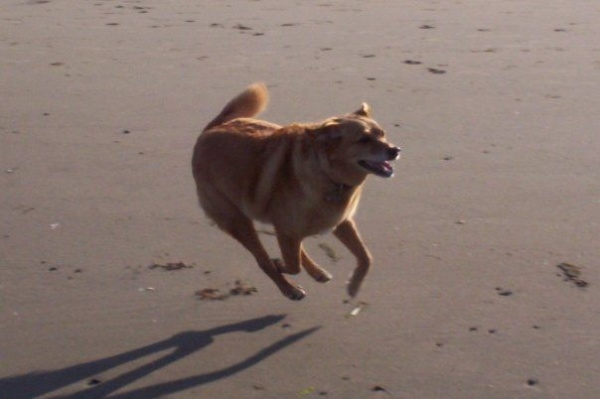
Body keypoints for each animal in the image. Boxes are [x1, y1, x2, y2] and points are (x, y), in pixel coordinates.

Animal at [191, 83, 398, 300]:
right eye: (363, 139)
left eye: (382, 133)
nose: (395, 150)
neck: (329, 175)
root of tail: (212, 128)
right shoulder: (287, 231)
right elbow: (291, 264)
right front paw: (280, 266)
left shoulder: (341, 222)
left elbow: (366, 257)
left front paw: (354, 286)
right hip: (238, 222)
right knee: (263, 260)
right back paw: (289, 288)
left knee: (297, 251)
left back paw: (316, 272)